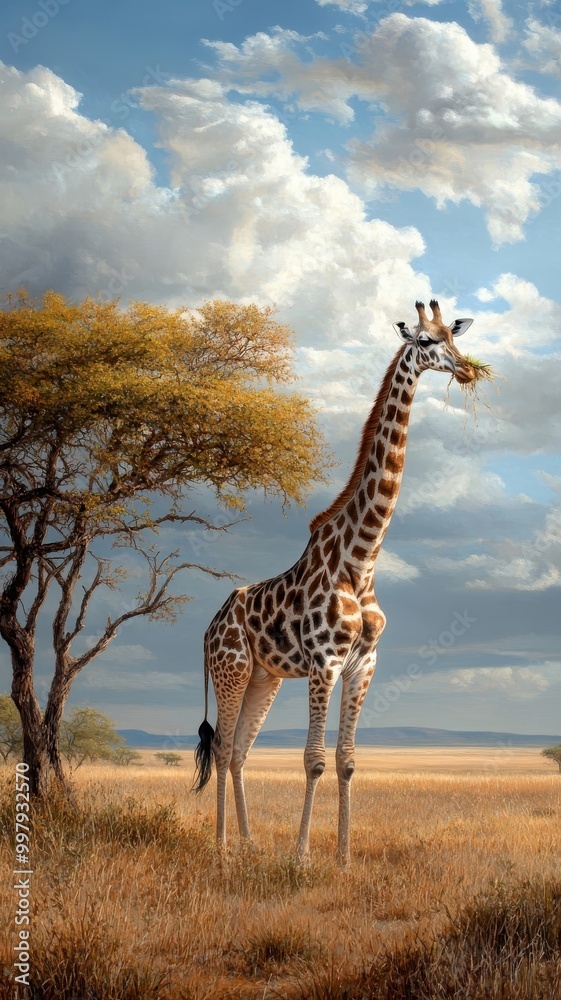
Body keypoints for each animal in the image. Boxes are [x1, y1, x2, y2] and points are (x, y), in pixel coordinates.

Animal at [193, 300, 475, 866]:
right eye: (427, 342)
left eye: (453, 337)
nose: (467, 370)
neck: (361, 559)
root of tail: (209, 628)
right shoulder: (324, 660)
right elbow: (314, 760)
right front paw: (302, 857)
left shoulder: (364, 661)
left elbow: (346, 760)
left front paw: (344, 857)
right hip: (231, 670)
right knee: (223, 746)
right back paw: (223, 849)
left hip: (265, 678)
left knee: (238, 752)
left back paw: (249, 845)